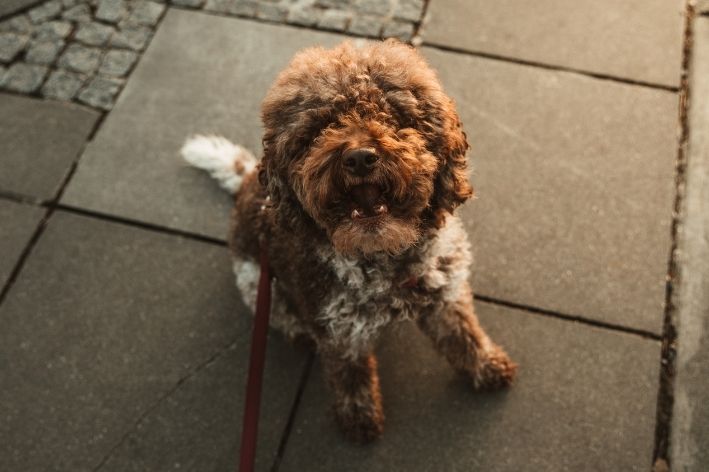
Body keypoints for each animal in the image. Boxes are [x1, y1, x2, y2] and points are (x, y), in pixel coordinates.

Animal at [183, 37, 516, 442]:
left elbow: (463, 333)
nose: (359, 158)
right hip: (257, 283)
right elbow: (350, 376)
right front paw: (359, 418)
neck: (384, 258)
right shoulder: (340, 332)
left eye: (392, 115)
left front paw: (486, 365)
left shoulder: (444, 291)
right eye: (320, 127)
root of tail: (248, 180)